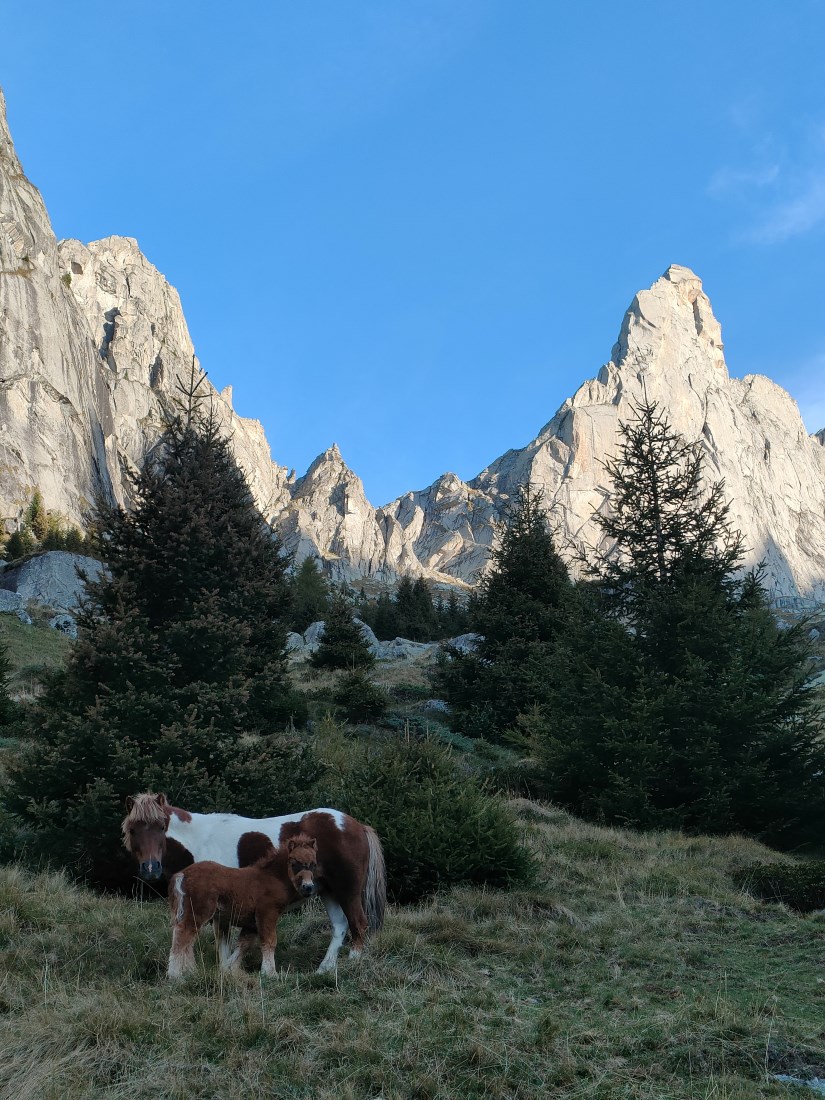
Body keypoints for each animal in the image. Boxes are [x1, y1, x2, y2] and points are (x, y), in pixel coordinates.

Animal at [169, 831, 321, 981]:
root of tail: (183, 874)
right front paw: (271, 973)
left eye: (313, 864)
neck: (273, 878)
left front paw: (228, 970)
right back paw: (175, 976)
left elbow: (243, 944)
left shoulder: (252, 923)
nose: (308, 887)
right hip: (198, 911)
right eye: (294, 863)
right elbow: (270, 941)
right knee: (183, 936)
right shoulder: (267, 913)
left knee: (188, 940)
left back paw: (191, 972)